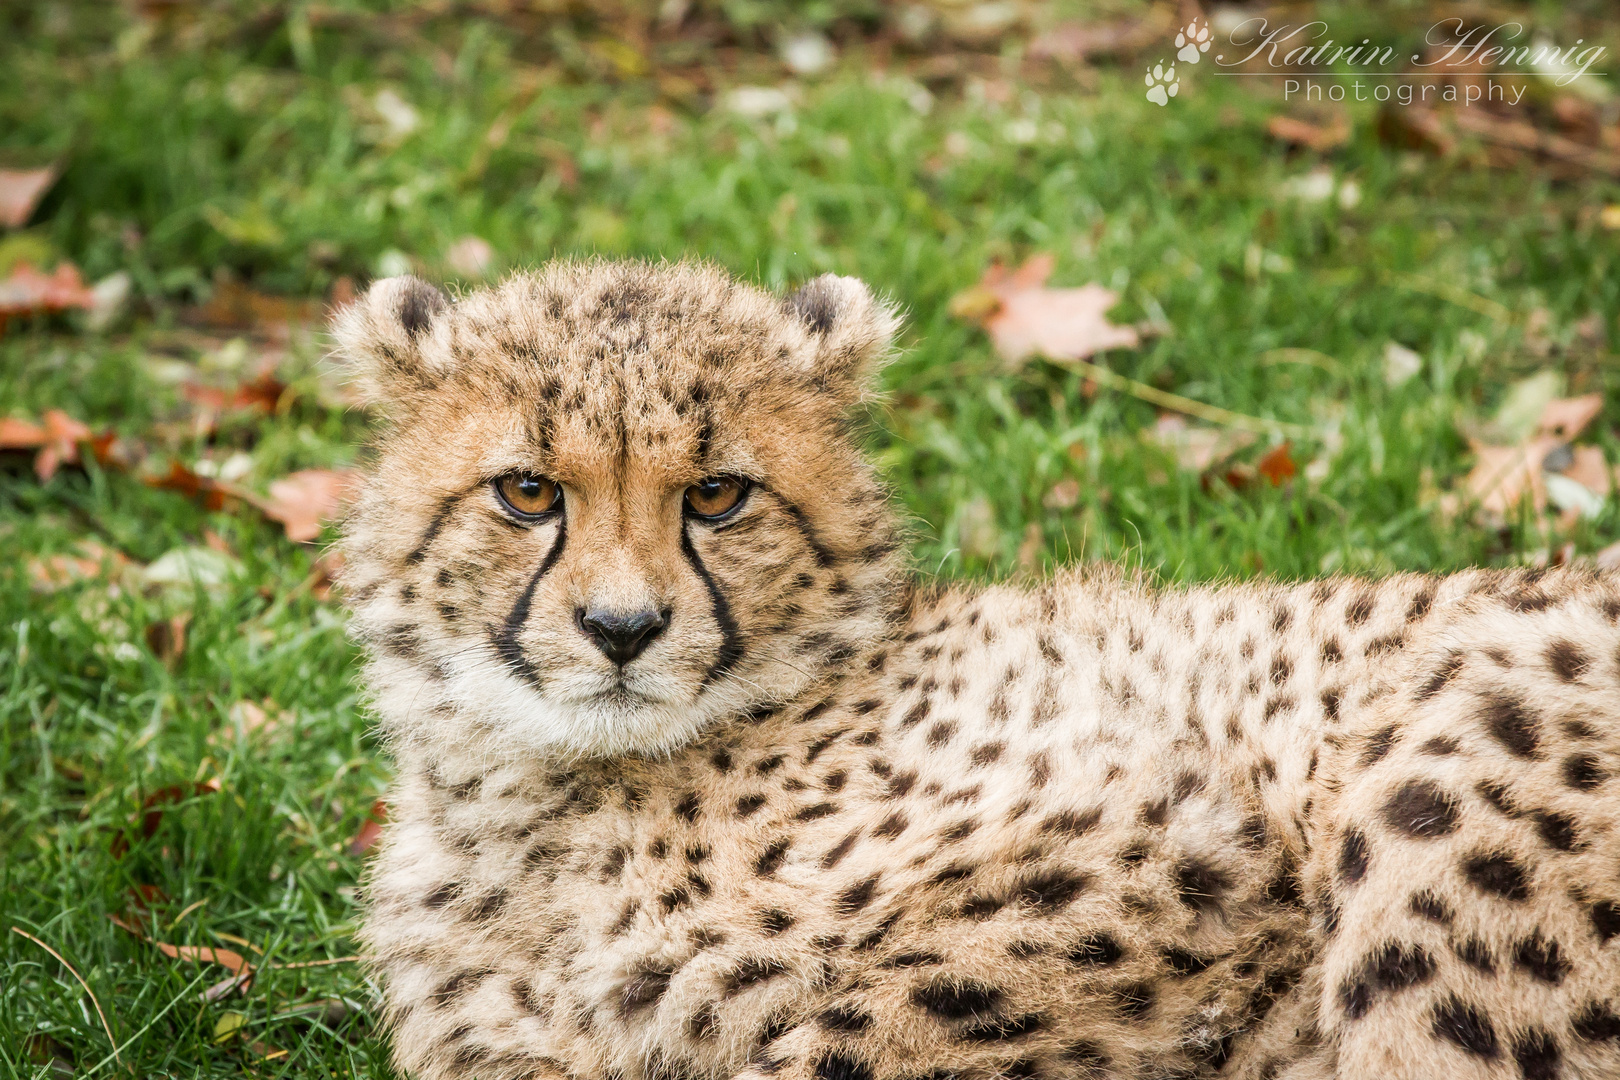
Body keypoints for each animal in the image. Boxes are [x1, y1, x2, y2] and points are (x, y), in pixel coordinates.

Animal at [335, 262, 1620, 1080]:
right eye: (527, 492)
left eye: (716, 495)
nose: (621, 628)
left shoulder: (1180, 850)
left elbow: (861, 1030)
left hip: (1460, 737)